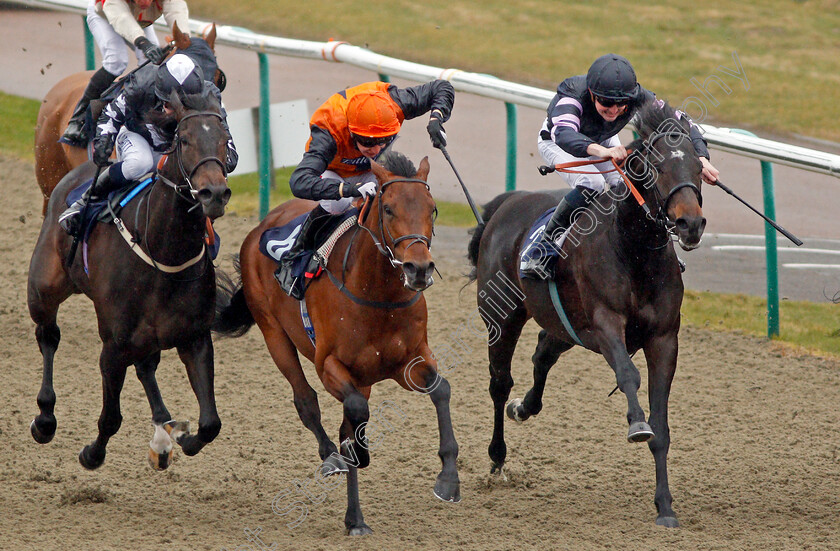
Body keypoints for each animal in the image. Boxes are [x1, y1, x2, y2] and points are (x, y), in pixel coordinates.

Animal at [27, 90, 231, 470]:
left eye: (225, 140)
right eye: (184, 140)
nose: (214, 193)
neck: (164, 251)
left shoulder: (195, 337)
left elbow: (211, 423)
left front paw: (182, 438)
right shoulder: (114, 344)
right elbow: (111, 417)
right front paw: (92, 453)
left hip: (148, 336)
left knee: (146, 366)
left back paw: (163, 432)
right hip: (44, 286)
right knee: (48, 336)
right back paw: (45, 418)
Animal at [212, 151, 460, 536]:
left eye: (432, 208)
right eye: (388, 208)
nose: (419, 269)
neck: (378, 295)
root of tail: (260, 227)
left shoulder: (408, 361)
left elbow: (441, 389)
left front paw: (448, 479)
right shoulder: (330, 366)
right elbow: (353, 415)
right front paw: (354, 473)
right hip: (274, 335)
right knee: (305, 401)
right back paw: (333, 459)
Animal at [466, 101, 708, 528]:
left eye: (697, 167)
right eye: (658, 166)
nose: (690, 224)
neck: (634, 250)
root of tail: (505, 205)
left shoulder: (664, 338)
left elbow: (662, 427)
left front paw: (665, 506)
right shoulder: (607, 323)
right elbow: (628, 375)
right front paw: (636, 423)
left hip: (566, 325)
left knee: (542, 353)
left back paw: (524, 407)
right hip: (501, 317)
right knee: (499, 383)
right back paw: (497, 459)